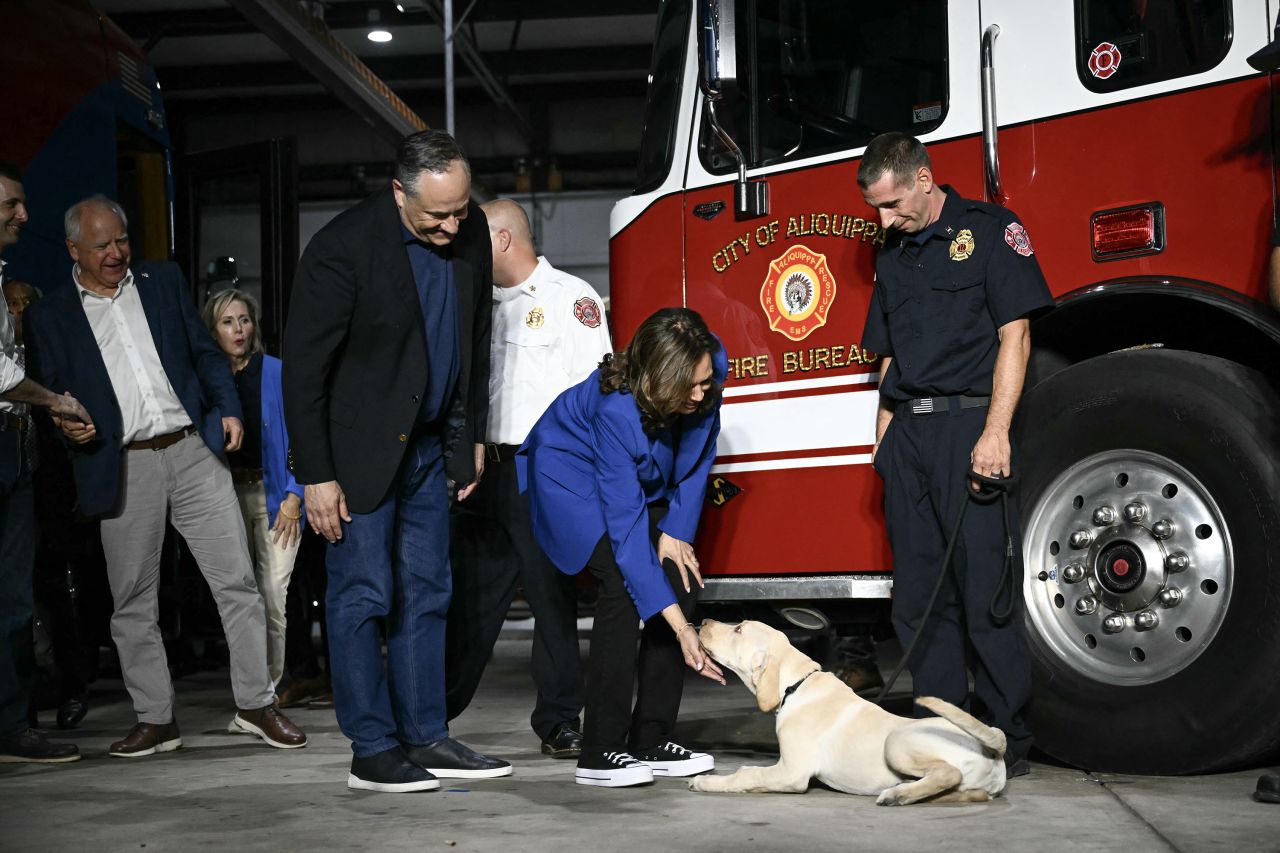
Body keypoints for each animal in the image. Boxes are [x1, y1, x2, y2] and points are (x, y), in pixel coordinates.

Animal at [691, 617, 1008, 804]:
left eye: (738, 629)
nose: (703, 621)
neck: (797, 685)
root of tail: (992, 747)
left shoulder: (792, 773)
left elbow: (747, 774)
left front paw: (707, 782)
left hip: (896, 741)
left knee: (948, 773)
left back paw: (897, 794)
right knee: (968, 793)